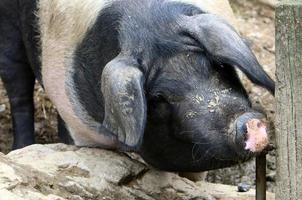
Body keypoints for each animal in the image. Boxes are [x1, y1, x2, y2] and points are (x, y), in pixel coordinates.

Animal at [0, 0, 274, 172]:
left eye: (217, 65)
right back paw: (21, 147)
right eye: (158, 97)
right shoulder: (78, 124)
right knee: (18, 88)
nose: (249, 124)